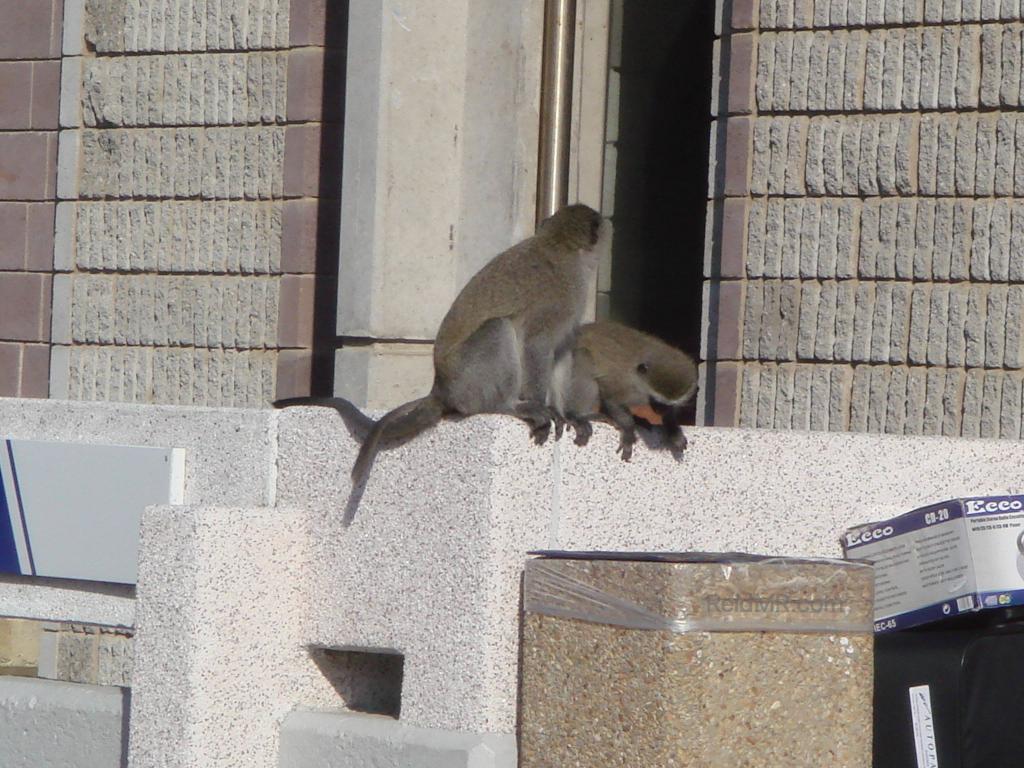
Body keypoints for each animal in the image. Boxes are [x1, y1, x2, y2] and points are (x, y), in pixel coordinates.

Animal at [276, 204, 602, 524]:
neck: (559, 243)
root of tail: (441, 388)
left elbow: (561, 351)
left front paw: (568, 414)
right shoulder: (563, 295)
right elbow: (536, 344)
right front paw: (542, 406)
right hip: (468, 381)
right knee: (497, 328)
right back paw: (508, 405)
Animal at [552, 319, 704, 460]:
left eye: (668, 405)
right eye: (657, 401)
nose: (660, 411)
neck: (640, 383)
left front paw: (673, 430)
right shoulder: (623, 384)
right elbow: (613, 400)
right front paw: (629, 431)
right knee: (583, 357)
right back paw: (580, 414)